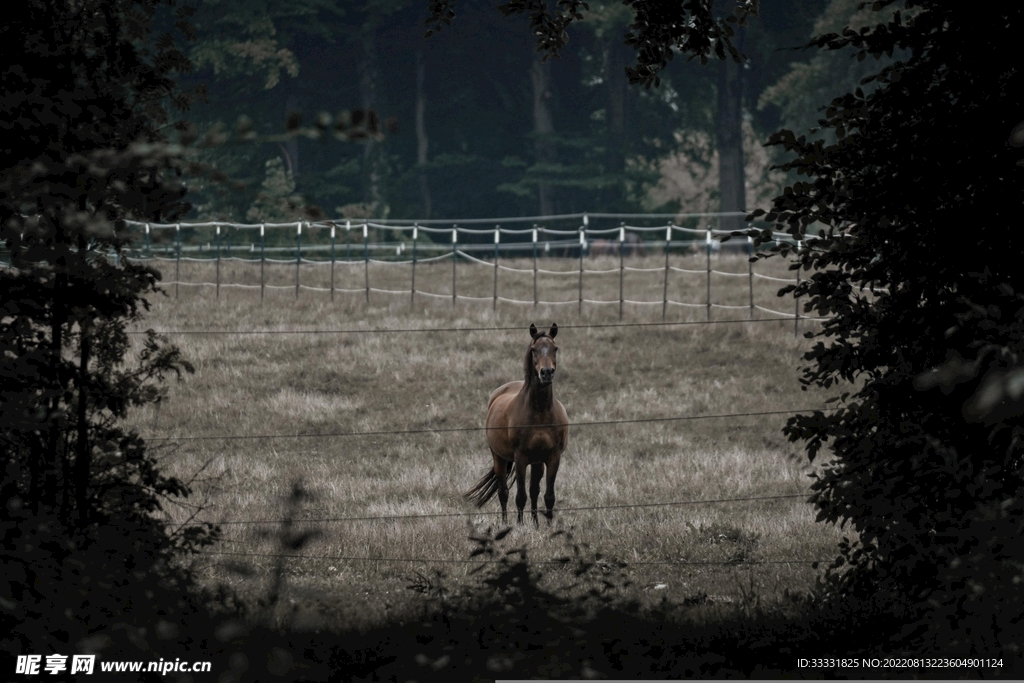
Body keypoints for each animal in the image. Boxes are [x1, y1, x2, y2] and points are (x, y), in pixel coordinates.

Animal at [465, 323, 569, 525]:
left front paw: (548, 526)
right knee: (503, 492)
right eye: (534, 349)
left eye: (555, 348)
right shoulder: (520, 457)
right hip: (499, 457)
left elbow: (548, 496)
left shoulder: (553, 457)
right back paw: (505, 523)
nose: (546, 373)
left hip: (537, 462)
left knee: (534, 491)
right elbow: (520, 496)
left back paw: (535, 523)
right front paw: (520, 525)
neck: (540, 412)